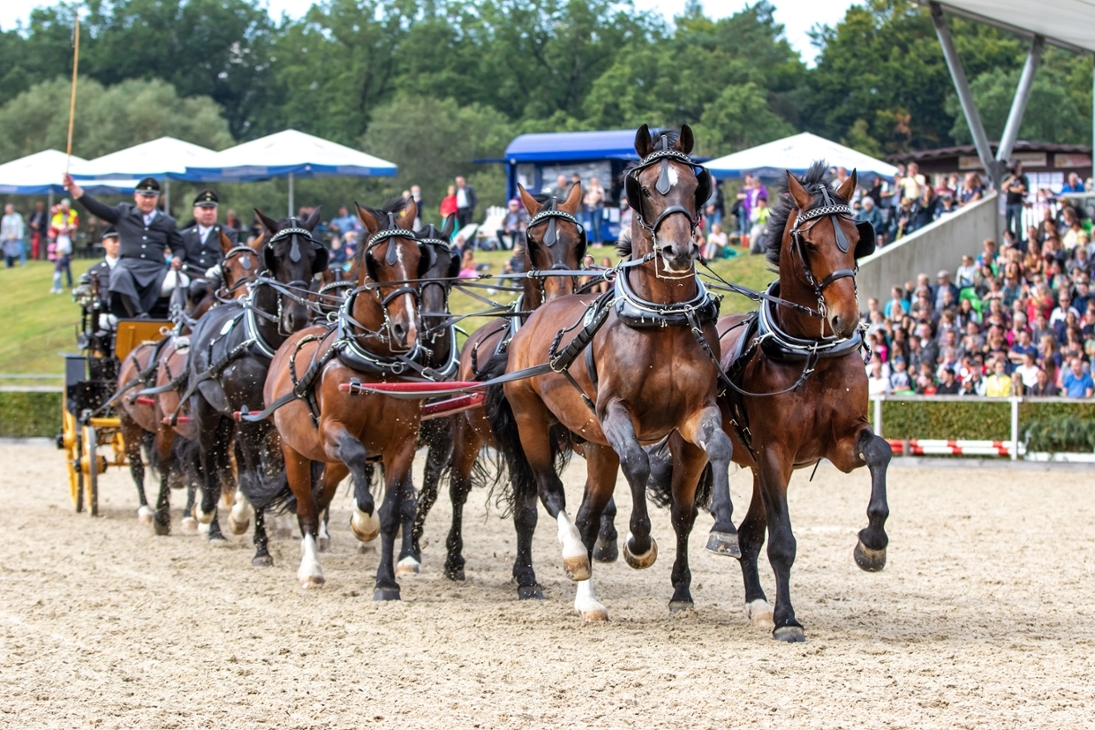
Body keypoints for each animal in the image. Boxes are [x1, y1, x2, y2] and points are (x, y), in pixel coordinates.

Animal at [188, 207, 326, 564]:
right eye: (275, 256)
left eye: (313, 257)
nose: (297, 317)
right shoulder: (249, 422)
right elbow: (253, 472)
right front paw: (261, 545)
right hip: (207, 412)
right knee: (211, 459)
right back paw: (212, 522)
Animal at [264, 198, 431, 595]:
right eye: (375, 260)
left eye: (419, 257)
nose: (406, 328)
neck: (377, 364)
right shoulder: (332, 431)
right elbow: (358, 464)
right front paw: (362, 522)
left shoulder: (402, 443)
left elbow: (390, 512)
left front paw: (386, 582)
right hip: (295, 450)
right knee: (305, 506)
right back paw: (311, 568)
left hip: (330, 461)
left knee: (320, 495)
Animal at [427, 183, 595, 599]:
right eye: (532, 241)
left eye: (578, 238)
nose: (559, 295)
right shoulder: (522, 439)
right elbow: (527, 509)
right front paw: (526, 577)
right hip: (466, 434)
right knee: (458, 490)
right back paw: (453, 560)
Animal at [486, 122, 727, 621]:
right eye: (643, 189)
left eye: (695, 185)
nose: (677, 251)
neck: (662, 317)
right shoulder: (616, 412)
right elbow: (637, 464)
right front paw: (639, 543)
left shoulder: (694, 414)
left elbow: (702, 475)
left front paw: (708, 553)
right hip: (531, 422)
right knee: (550, 494)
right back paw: (576, 560)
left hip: (595, 442)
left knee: (588, 513)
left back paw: (589, 597)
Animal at [648, 163, 889, 643]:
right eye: (809, 244)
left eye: (857, 238)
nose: (846, 318)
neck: (811, 353)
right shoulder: (776, 451)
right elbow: (782, 543)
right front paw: (788, 619)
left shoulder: (839, 442)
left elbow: (880, 452)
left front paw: (872, 544)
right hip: (696, 452)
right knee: (685, 517)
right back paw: (682, 594)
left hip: (761, 467)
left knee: (747, 535)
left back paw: (756, 603)